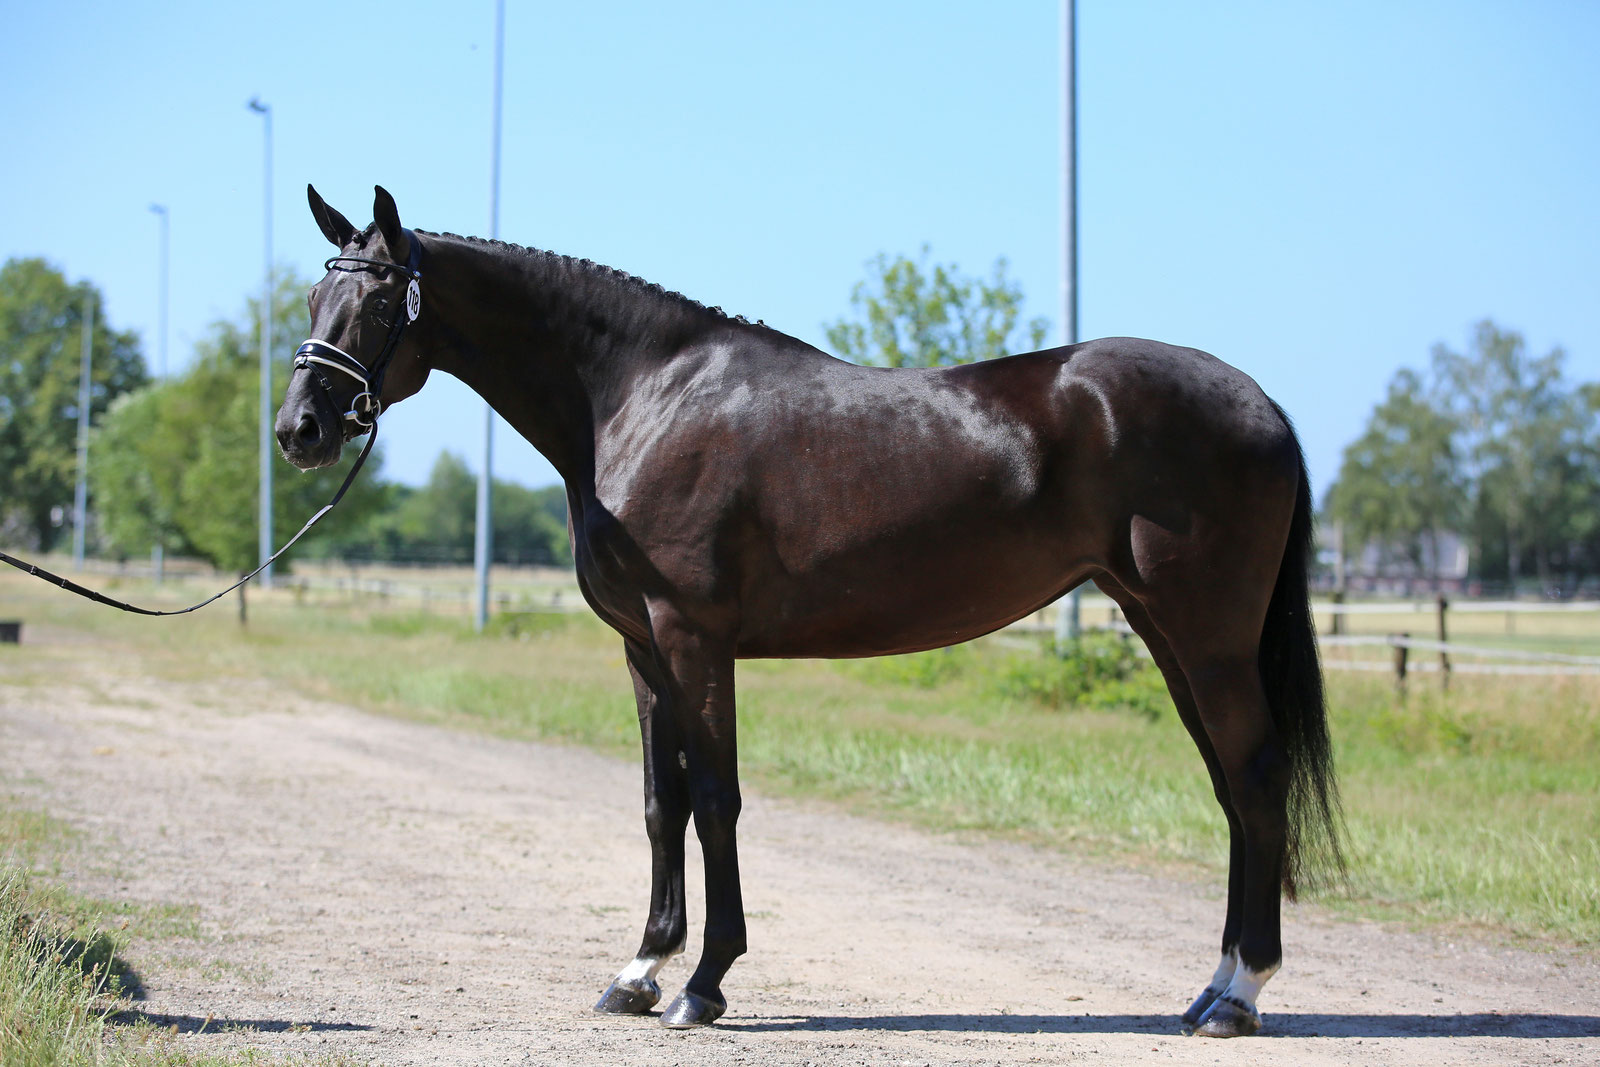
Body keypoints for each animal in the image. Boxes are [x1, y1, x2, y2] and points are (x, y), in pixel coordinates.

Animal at [275, 185, 1341, 1038]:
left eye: (380, 300)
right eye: (316, 299)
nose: (301, 429)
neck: (641, 394)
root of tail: (1262, 404)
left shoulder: (694, 639)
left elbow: (716, 800)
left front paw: (703, 984)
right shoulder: (641, 649)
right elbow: (661, 803)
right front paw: (638, 969)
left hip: (1207, 637)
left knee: (1253, 778)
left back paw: (1239, 995)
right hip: (1167, 633)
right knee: (1233, 790)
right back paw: (1211, 988)